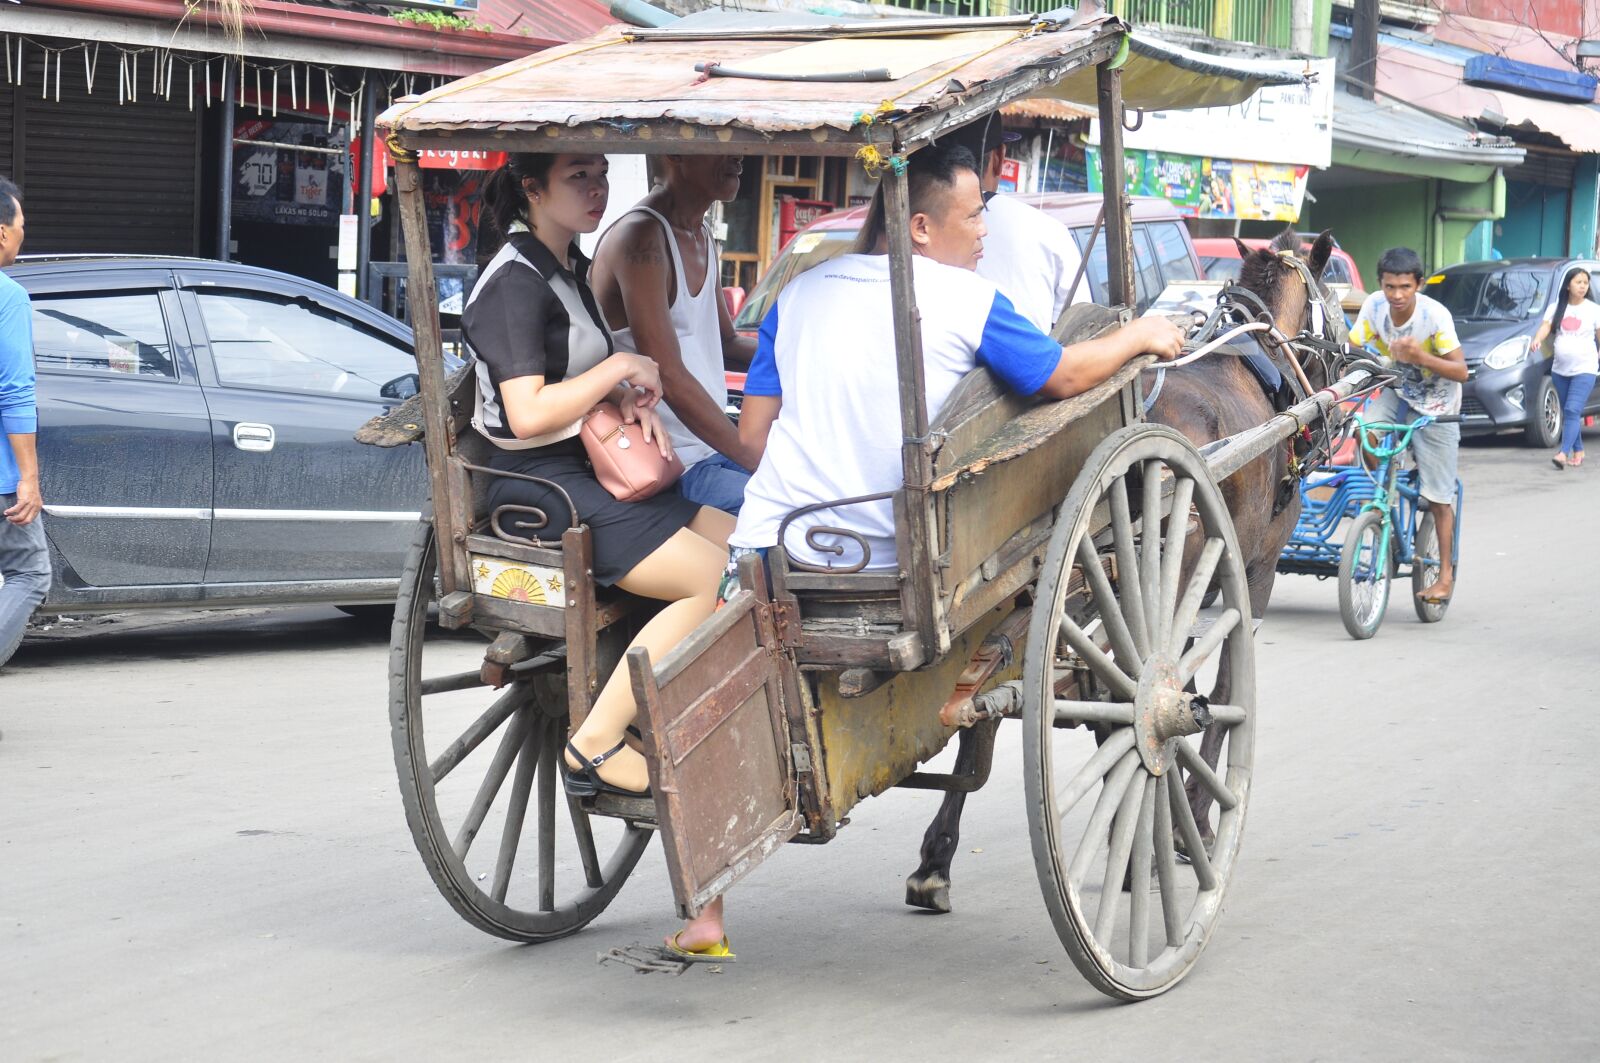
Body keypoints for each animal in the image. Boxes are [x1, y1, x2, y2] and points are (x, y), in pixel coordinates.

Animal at [908, 225, 1344, 915]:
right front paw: (1197, 815)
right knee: (1113, 689)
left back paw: (939, 859)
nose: (1350, 350)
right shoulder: (1255, 569)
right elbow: (1222, 685)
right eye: (1335, 300)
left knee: (993, 697)